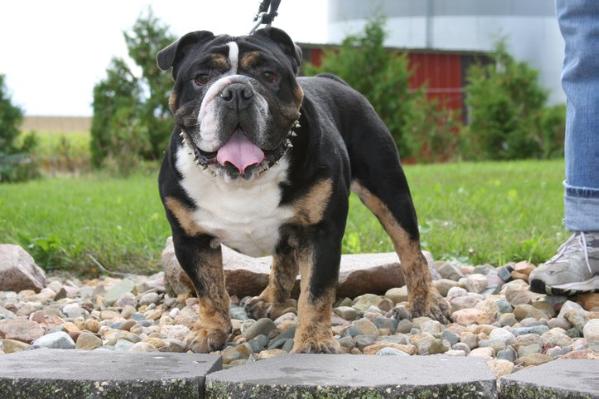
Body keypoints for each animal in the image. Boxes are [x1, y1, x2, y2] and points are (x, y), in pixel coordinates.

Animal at [157, 27, 448, 354]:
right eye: (201, 78)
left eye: (269, 75)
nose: (237, 92)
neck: (243, 178)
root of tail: (334, 80)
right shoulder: (191, 240)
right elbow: (209, 289)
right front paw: (211, 331)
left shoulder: (320, 232)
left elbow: (316, 291)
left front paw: (313, 342)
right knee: (283, 259)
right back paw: (270, 300)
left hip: (389, 192)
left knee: (410, 250)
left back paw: (424, 304)